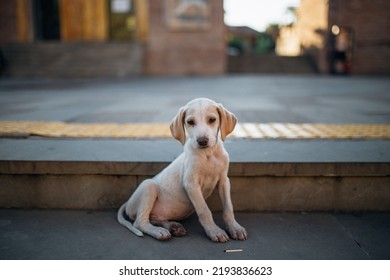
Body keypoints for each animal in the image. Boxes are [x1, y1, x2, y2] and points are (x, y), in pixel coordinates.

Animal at [118, 97, 247, 242]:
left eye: (212, 119)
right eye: (190, 122)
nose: (202, 141)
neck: (208, 154)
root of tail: (128, 203)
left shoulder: (224, 181)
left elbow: (228, 208)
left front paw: (235, 227)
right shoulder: (191, 184)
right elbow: (204, 210)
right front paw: (214, 231)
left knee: (154, 218)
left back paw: (173, 227)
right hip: (149, 185)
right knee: (140, 222)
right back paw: (159, 231)